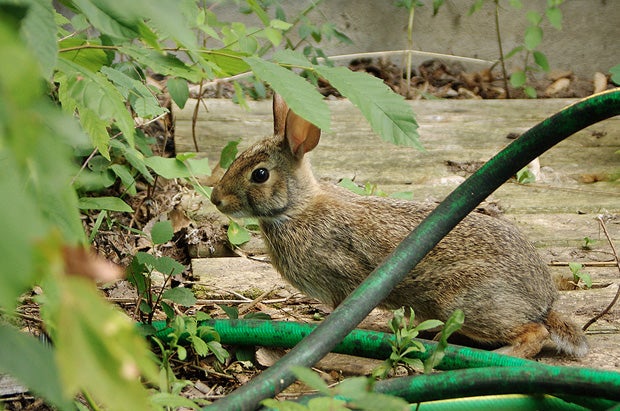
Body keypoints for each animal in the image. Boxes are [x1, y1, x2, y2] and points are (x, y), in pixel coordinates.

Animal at [211, 95, 588, 358]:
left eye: (260, 174)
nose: (216, 199)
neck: (296, 208)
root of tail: (544, 300)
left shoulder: (345, 279)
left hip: (465, 302)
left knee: (534, 334)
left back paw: (502, 353)